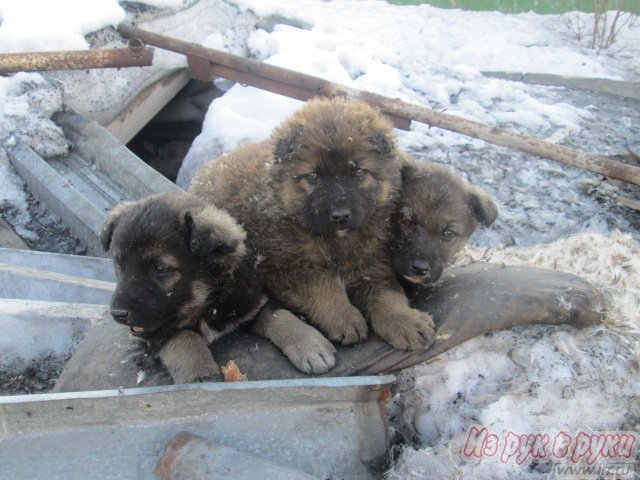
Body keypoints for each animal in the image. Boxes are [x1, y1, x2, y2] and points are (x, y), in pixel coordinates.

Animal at [100, 191, 336, 382]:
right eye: (119, 264)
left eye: (160, 269)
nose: (117, 313)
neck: (207, 304)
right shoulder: (155, 332)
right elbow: (183, 336)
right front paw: (198, 372)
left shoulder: (250, 303)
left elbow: (278, 314)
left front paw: (309, 344)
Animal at [191, 98, 436, 352]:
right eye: (313, 176)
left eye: (358, 172)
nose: (340, 215)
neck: (335, 242)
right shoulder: (282, 268)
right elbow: (322, 286)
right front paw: (344, 318)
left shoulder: (372, 264)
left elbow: (387, 296)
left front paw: (405, 321)